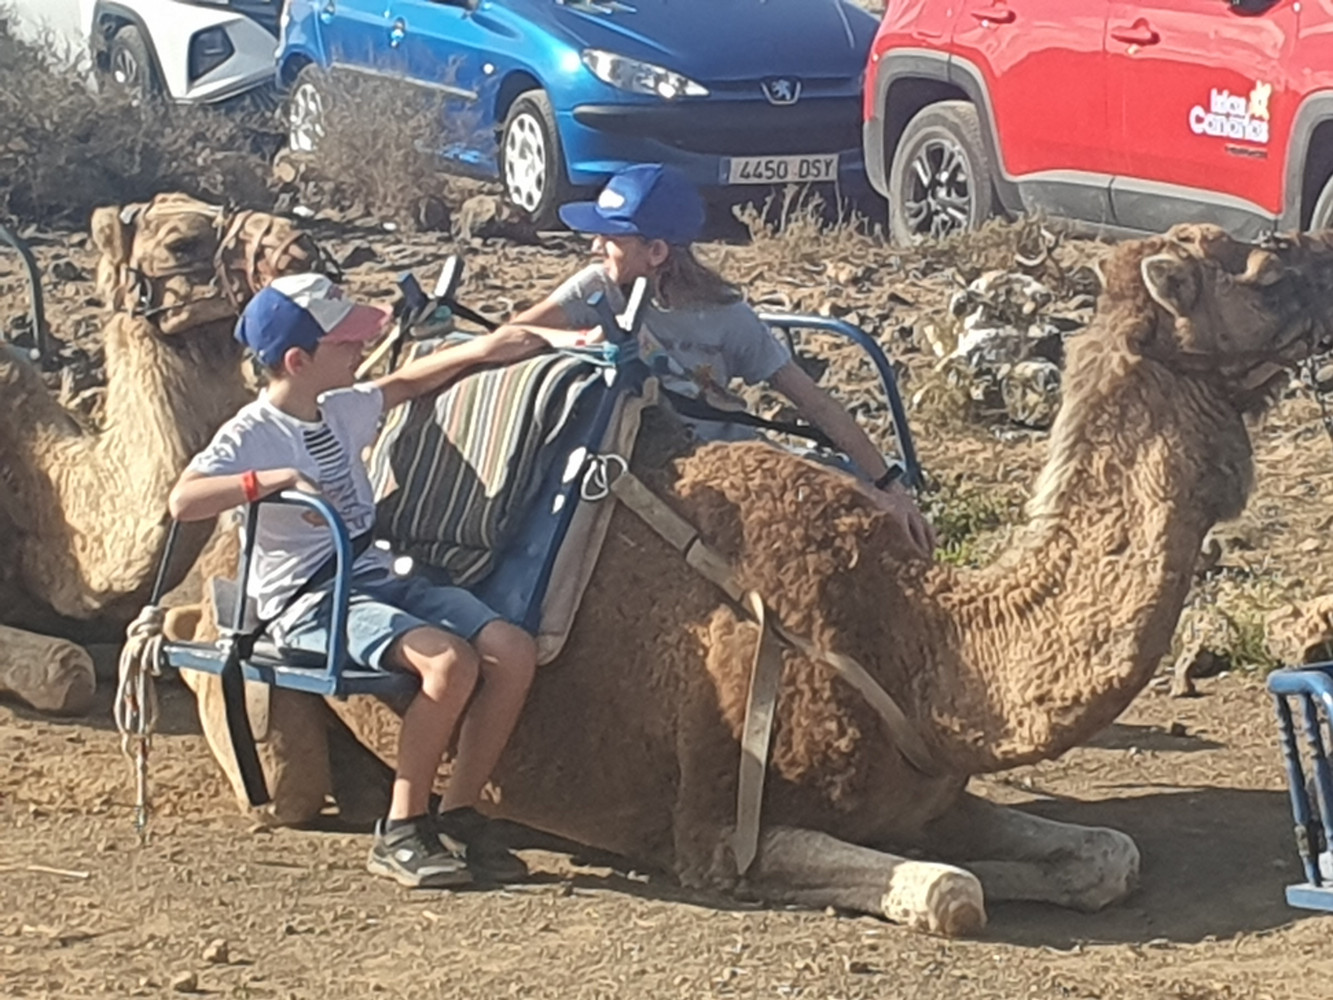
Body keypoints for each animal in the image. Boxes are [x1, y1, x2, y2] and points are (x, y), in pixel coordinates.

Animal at [181, 224, 1333, 935]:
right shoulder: (712, 830)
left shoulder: (934, 789)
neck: (918, 645)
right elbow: (948, 895)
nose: (1318, 247)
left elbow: (1104, 856)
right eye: (1264, 273)